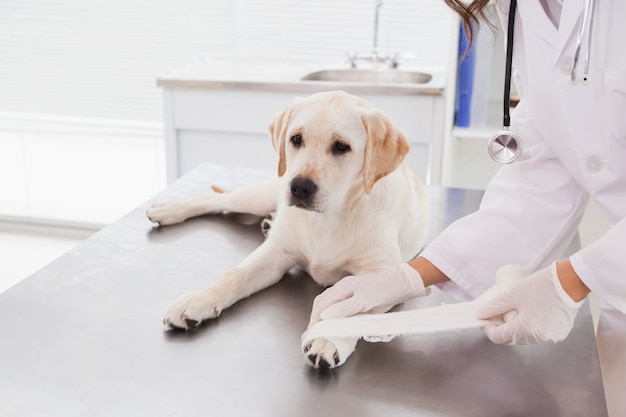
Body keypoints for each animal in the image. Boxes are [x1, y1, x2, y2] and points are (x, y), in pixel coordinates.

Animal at [146, 90, 428, 368]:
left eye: (341, 146)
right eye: (296, 139)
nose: (300, 187)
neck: (329, 217)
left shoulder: (385, 275)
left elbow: (356, 305)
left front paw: (328, 337)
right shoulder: (276, 253)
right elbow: (235, 275)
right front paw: (198, 299)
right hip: (261, 195)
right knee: (216, 200)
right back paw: (170, 209)